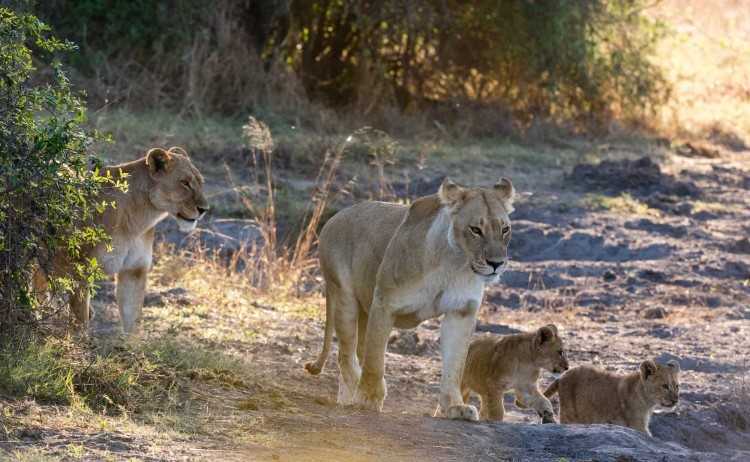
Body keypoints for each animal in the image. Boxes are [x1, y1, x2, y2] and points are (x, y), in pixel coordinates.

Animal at [38, 147, 208, 334]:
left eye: (201, 182)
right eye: (184, 183)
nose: (204, 209)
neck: (139, 219)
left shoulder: (134, 270)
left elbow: (132, 320)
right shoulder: (81, 269)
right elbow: (79, 319)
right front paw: (78, 339)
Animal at [304, 177, 516, 421]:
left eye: (505, 229)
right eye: (475, 230)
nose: (496, 263)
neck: (453, 263)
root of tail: (333, 218)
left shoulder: (462, 311)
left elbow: (455, 365)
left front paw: (455, 407)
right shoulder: (384, 304)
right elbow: (375, 359)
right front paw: (367, 398)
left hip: (364, 310)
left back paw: (345, 399)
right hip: (344, 297)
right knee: (346, 355)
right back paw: (357, 391)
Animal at [437, 324, 569, 423]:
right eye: (560, 352)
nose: (567, 368)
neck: (529, 362)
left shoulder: (525, 388)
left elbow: (543, 401)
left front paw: (549, 418)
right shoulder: (494, 384)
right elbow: (497, 410)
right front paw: (496, 422)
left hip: (484, 393)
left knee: (483, 410)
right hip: (462, 384)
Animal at [544, 359, 680, 435]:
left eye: (677, 386)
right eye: (665, 386)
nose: (675, 401)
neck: (648, 403)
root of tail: (561, 377)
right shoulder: (637, 426)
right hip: (568, 416)